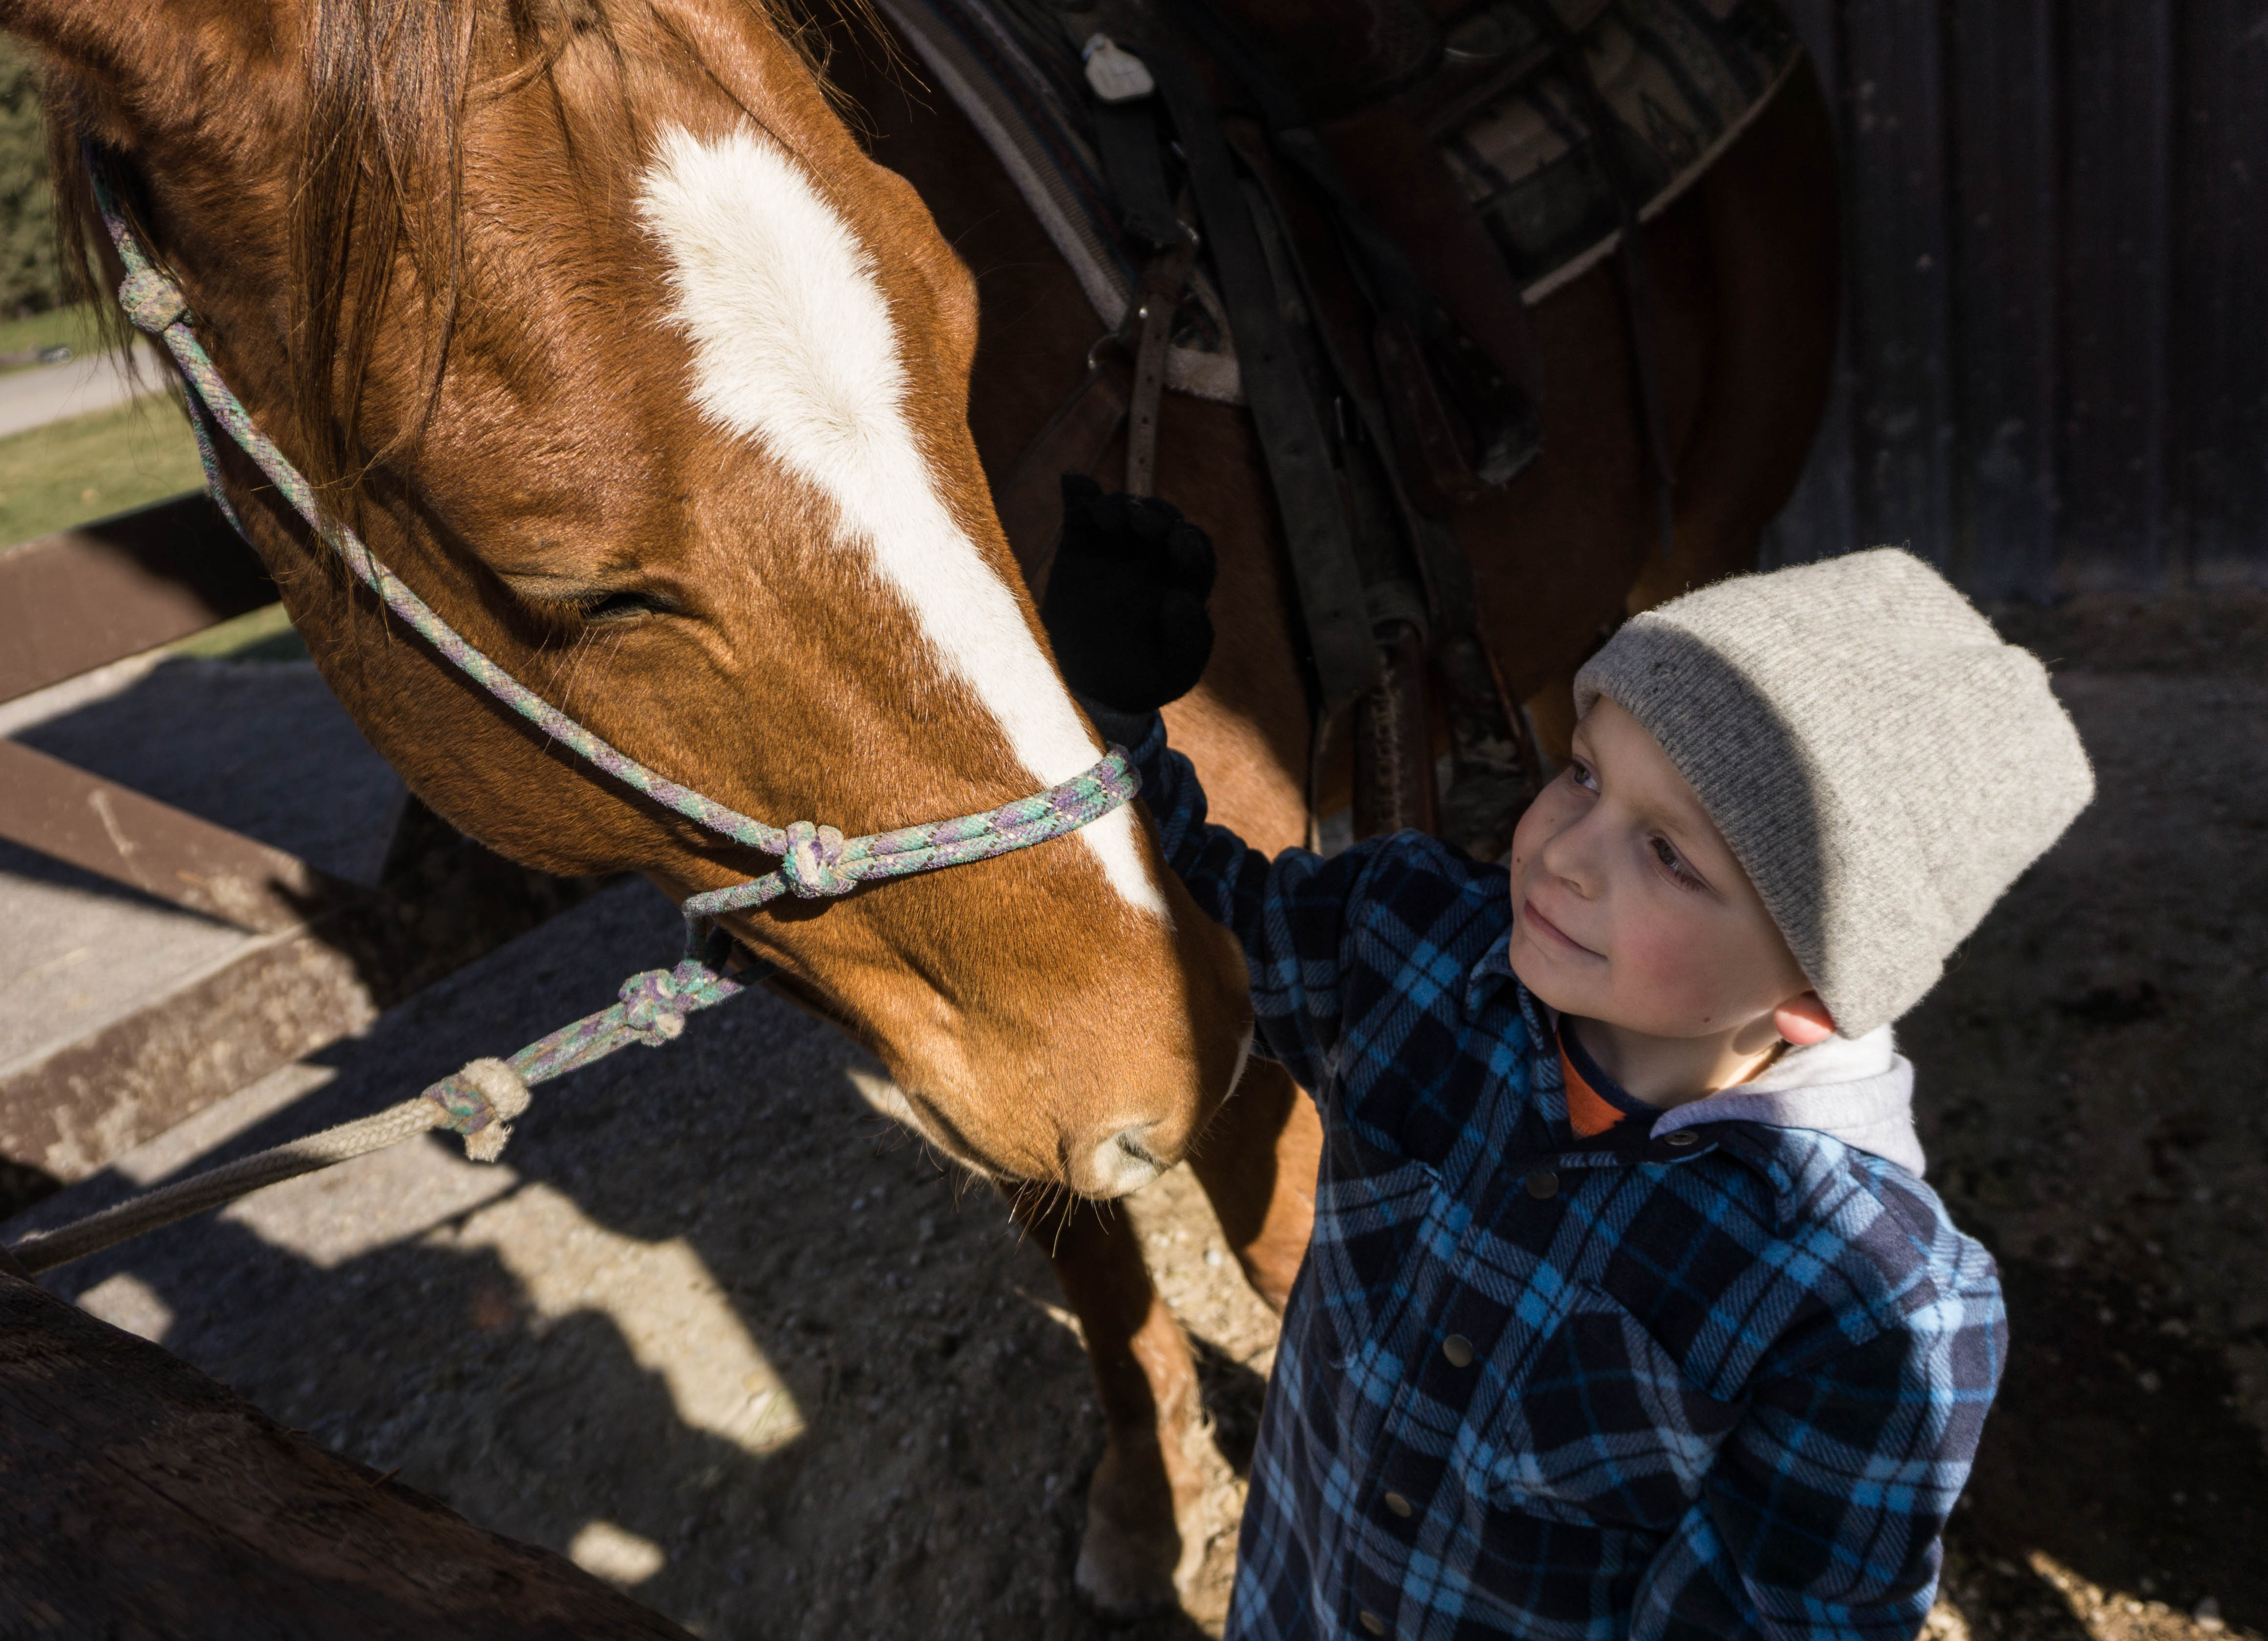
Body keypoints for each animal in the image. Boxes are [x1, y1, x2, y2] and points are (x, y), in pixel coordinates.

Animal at [9, 0, 1832, 1614]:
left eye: (951, 327)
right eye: (554, 582)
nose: (1159, 1039)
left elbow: (1296, 1261)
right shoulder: (992, 1022)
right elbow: (1084, 1244)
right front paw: (1143, 1504)